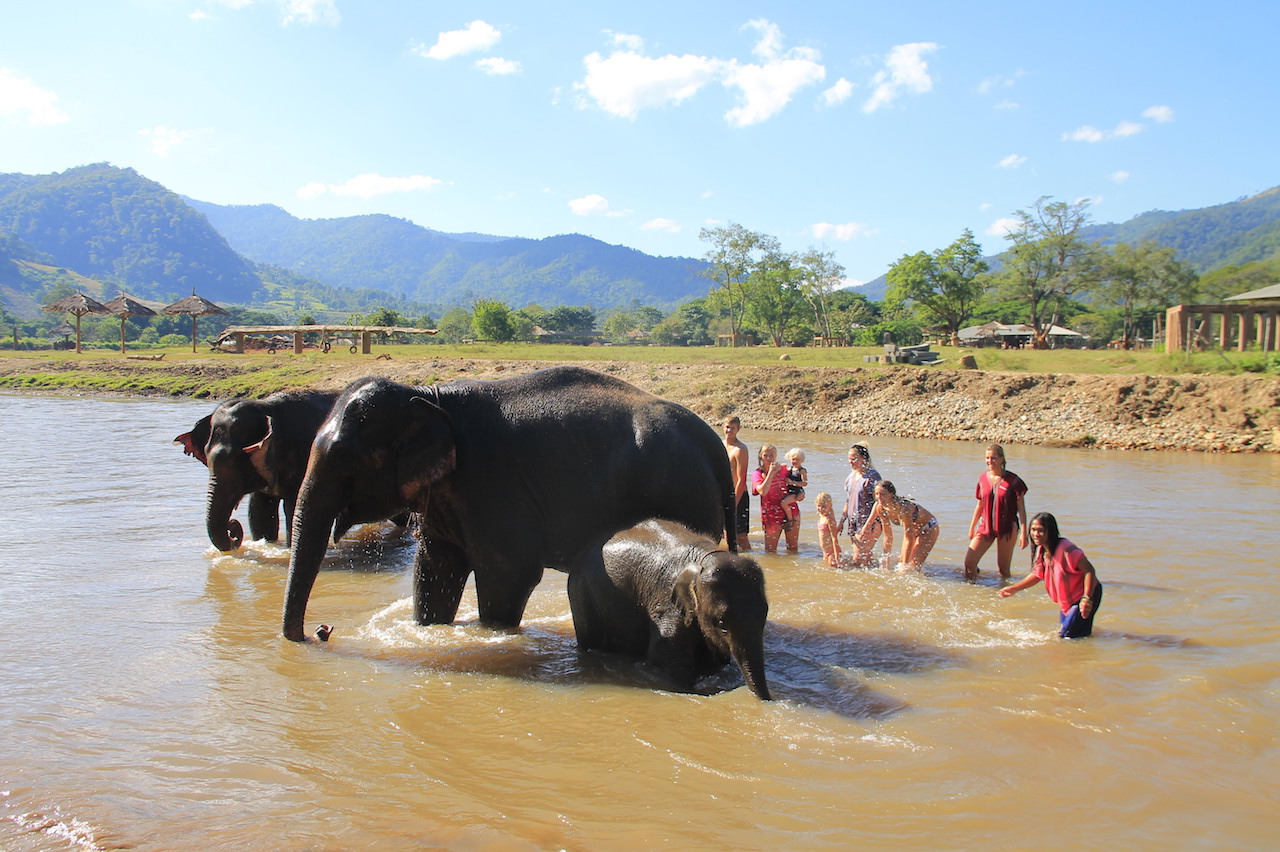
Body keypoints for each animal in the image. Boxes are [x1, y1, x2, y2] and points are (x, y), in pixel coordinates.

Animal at [176, 390, 340, 551]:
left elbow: (293, 510)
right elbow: (258, 512)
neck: (267, 408)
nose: (232, 527)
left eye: (237, 460)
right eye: (206, 458)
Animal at [282, 366, 737, 642]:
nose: (320, 632)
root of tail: (712, 442)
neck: (430, 397)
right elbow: (435, 568)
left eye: (345, 457)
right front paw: (431, 629)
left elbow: (508, 574)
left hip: (683, 493)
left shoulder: (493, 484)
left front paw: (492, 636)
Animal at [569, 519, 771, 699]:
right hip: (581, 593)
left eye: (764, 617)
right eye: (722, 623)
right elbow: (665, 657)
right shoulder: (666, 603)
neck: (703, 559)